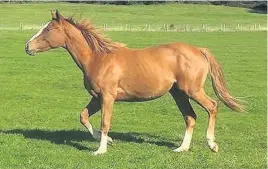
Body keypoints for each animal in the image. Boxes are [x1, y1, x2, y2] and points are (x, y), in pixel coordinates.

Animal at [25, 9, 245, 155]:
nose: (27, 47)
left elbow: (105, 122)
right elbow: (83, 117)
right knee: (190, 117)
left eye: (49, 29)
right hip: (178, 93)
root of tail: (199, 50)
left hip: (193, 90)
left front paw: (100, 150)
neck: (98, 58)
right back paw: (181, 148)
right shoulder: (96, 98)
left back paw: (212, 144)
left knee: (212, 106)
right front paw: (108, 141)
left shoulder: (107, 97)